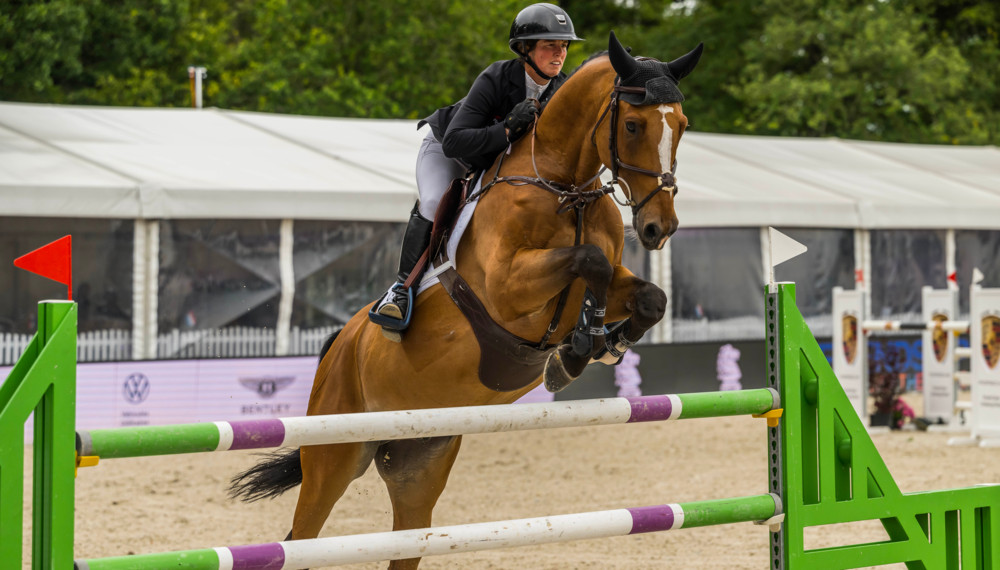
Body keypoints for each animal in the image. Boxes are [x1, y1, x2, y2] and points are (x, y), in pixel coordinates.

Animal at [231, 32, 704, 568]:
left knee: (403, 538)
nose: (659, 228)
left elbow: (648, 297)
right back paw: (395, 305)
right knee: (302, 536)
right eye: (631, 124)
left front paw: (598, 345)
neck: (565, 187)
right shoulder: (508, 288)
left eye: (682, 126)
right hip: (335, 453)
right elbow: (590, 261)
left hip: (419, 461)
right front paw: (578, 350)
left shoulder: (607, 279)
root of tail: (337, 349)